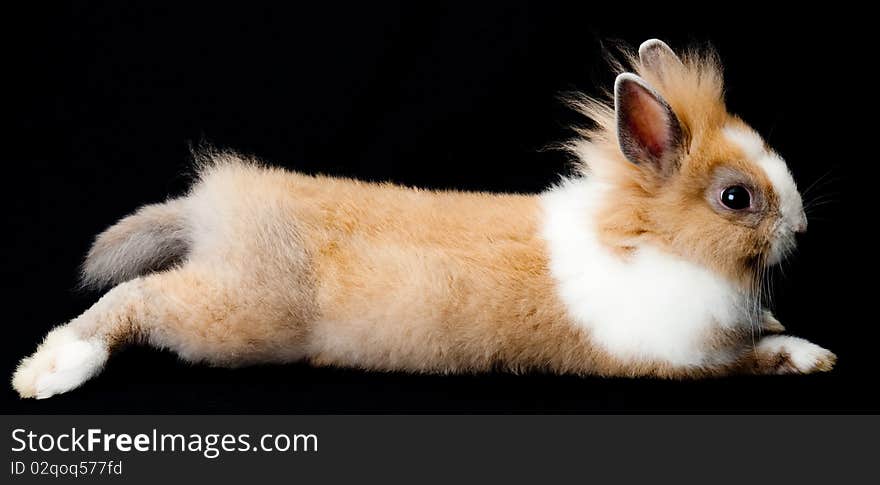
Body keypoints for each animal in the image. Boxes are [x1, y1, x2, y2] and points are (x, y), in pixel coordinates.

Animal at [15, 39, 840, 398]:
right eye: (736, 198)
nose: (802, 229)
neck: (649, 237)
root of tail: (220, 209)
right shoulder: (676, 357)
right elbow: (752, 357)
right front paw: (811, 354)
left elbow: (757, 329)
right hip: (238, 315)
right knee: (137, 299)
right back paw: (48, 370)